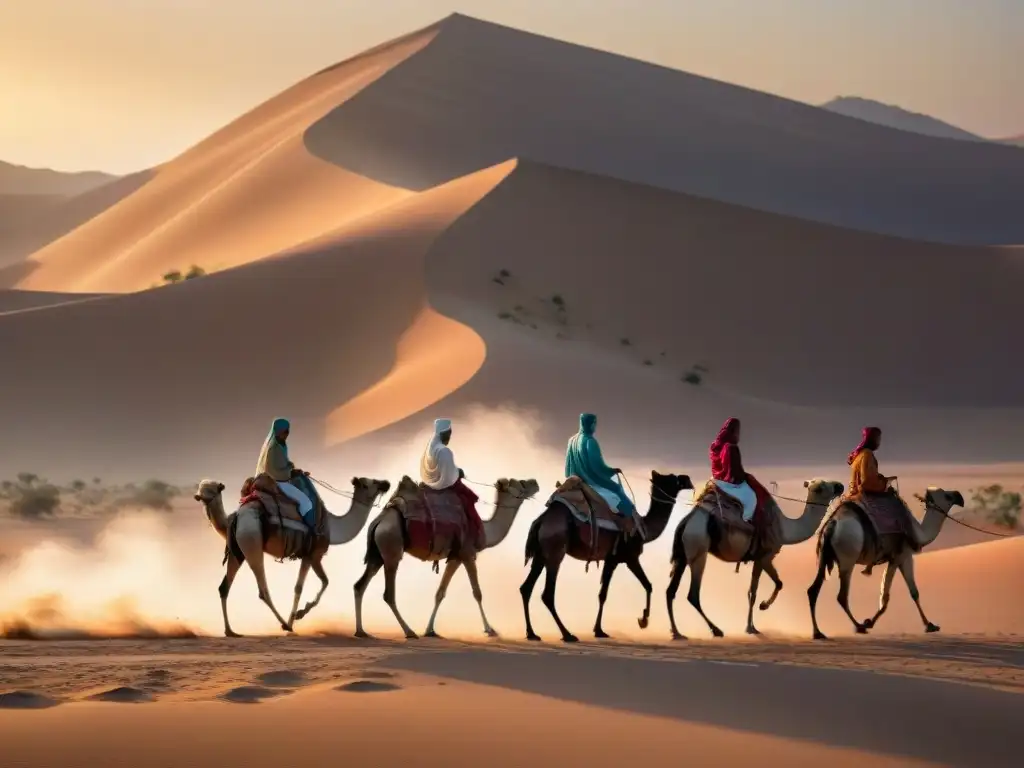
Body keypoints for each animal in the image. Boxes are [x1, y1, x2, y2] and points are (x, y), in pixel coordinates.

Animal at [193, 475, 389, 638]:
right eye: (368, 483)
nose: (386, 484)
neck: (333, 527)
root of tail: (235, 517)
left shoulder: (312, 556)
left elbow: (320, 582)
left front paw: (299, 614)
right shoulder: (312, 555)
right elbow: (304, 586)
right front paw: (296, 617)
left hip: (238, 552)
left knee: (224, 587)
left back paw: (230, 631)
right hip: (252, 543)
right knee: (263, 590)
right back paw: (284, 625)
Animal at [356, 479, 540, 638]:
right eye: (522, 483)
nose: (535, 483)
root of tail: (379, 521)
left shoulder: (455, 558)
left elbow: (440, 592)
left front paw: (430, 630)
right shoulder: (467, 554)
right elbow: (477, 593)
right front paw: (490, 629)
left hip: (377, 554)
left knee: (359, 585)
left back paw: (361, 631)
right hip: (391, 547)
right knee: (388, 594)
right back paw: (409, 631)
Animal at [520, 473, 696, 647]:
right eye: (674, 479)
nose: (688, 480)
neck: (643, 529)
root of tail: (540, 521)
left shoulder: (610, 560)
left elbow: (602, 594)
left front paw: (599, 630)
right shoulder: (629, 557)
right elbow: (647, 585)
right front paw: (643, 620)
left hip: (541, 554)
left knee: (526, 588)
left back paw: (532, 634)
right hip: (555, 550)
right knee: (547, 594)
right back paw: (567, 635)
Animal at [667, 481, 843, 638]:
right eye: (823, 486)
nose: (840, 486)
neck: (784, 528)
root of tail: (685, 522)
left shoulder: (758, 559)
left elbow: (753, 591)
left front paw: (751, 627)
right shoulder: (765, 557)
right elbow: (776, 584)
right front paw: (762, 607)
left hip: (683, 555)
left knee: (671, 590)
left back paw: (676, 633)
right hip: (698, 549)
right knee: (693, 594)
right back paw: (716, 630)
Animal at [806, 487, 958, 643]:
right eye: (947, 496)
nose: (959, 496)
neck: (918, 532)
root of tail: (831, 526)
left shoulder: (898, 557)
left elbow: (911, 592)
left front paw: (930, 625)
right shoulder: (901, 556)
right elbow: (892, 595)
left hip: (824, 557)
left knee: (813, 590)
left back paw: (818, 633)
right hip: (848, 558)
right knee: (841, 596)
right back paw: (859, 627)